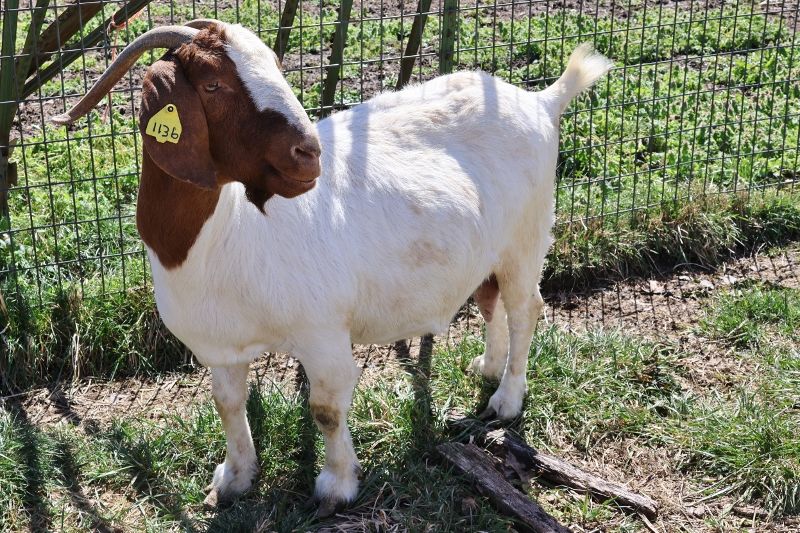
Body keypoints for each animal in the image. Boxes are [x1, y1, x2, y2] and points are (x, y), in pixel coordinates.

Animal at [53, 20, 612, 513]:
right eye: (212, 83)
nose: (309, 154)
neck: (224, 235)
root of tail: (541, 101)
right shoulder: (220, 344)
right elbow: (227, 404)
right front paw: (235, 478)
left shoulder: (321, 332)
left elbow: (324, 408)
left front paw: (337, 486)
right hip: (489, 249)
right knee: (491, 299)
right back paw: (487, 367)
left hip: (526, 236)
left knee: (525, 309)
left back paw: (506, 399)